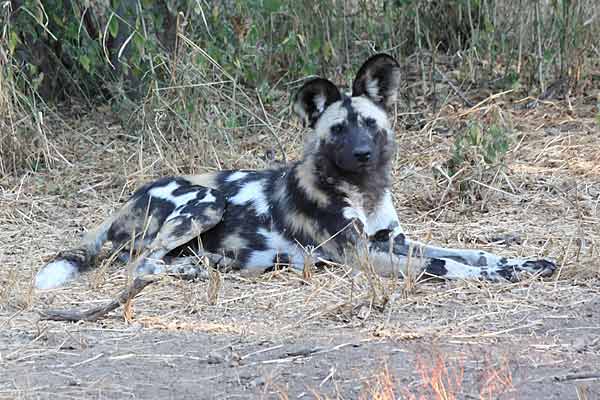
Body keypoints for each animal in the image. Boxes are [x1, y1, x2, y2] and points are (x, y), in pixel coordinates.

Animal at [35, 54, 556, 290]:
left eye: (370, 125)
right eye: (338, 130)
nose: (363, 154)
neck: (363, 192)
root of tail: (120, 207)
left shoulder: (394, 242)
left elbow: (472, 253)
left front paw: (524, 263)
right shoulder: (364, 256)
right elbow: (447, 266)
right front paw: (498, 276)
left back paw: (209, 265)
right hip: (206, 201)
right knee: (142, 263)